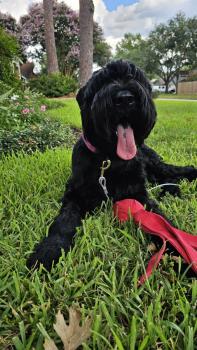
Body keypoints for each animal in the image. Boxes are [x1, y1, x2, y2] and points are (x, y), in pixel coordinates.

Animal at [27, 60, 197, 270]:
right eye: (102, 82)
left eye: (134, 77)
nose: (125, 99)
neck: (109, 160)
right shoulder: (74, 195)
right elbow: (63, 222)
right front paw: (49, 250)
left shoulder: (138, 193)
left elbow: (162, 222)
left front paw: (178, 250)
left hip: (154, 164)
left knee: (174, 172)